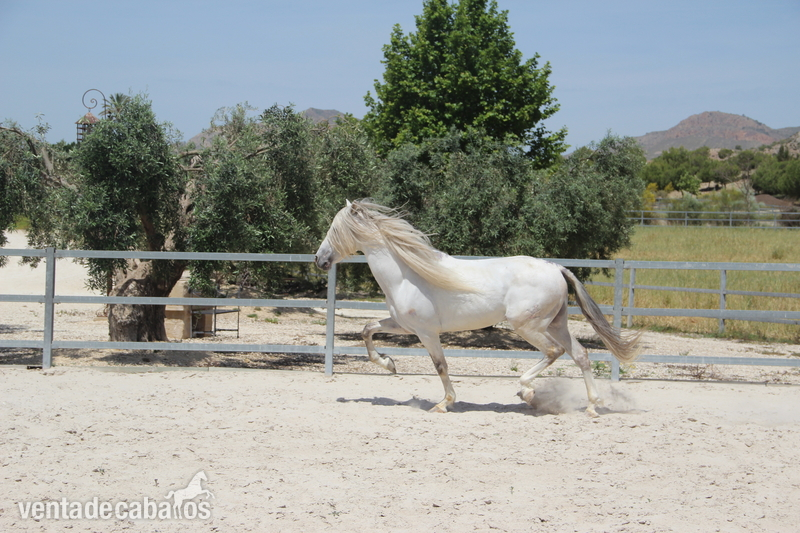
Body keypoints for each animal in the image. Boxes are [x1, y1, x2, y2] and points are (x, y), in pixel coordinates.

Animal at [314, 200, 641, 417]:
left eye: (336, 229)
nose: (319, 259)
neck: (406, 275)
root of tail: (556, 268)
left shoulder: (427, 333)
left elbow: (441, 366)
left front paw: (443, 403)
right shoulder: (403, 326)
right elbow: (366, 330)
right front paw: (389, 364)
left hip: (528, 326)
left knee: (554, 352)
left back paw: (528, 392)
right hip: (556, 323)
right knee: (581, 355)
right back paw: (592, 407)